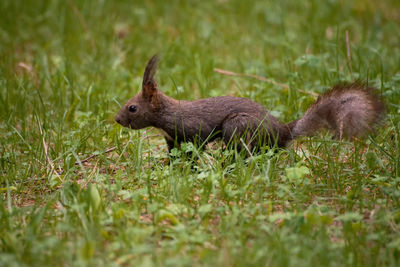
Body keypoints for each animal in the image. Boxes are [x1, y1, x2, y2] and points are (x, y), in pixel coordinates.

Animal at [115, 55, 384, 154]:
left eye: (132, 108)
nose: (117, 119)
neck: (167, 114)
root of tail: (283, 131)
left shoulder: (194, 130)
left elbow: (196, 147)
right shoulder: (171, 140)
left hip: (237, 126)